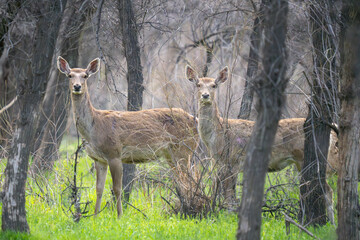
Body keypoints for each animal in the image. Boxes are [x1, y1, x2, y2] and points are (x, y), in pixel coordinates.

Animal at [56, 57, 198, 218]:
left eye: (85, 76)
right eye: (70, 75)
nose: (77, 86)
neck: (94, 128)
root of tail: (196, 120)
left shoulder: (114, 153)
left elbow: (117, 188)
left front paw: (119, 216)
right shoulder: (98, 159)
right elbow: (99, 189)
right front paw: (95, 216)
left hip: (184, 149)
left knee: (189, 179)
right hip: (171, 154)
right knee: (182, 180)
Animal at [187, 65, 338, 223]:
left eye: (214, 85)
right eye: (198, 85)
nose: (205, 96)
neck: (216, 137)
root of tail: (332, 131)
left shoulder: (232, 161)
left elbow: (229, 196)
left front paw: (229, 217)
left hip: (305, 158)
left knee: (327, 190)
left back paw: (330, 223)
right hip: (301, 162)